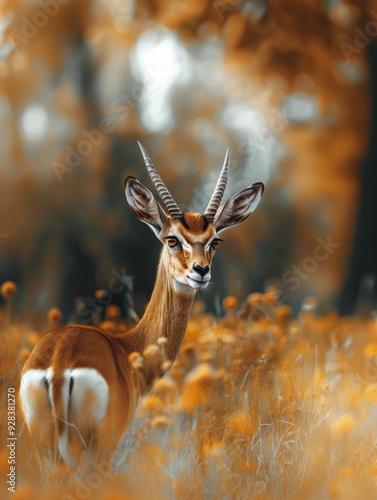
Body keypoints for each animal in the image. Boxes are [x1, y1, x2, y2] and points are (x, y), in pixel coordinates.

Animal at [19, 142, 262, 468]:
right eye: (172, 239)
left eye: (215, 241)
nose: (200, 271)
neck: (127, 347)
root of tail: (59, 364)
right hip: (96, 449)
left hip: (45, 449)